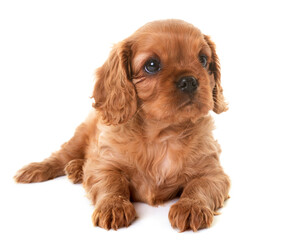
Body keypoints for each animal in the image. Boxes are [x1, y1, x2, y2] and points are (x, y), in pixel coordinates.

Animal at [14, 19, 231, 232]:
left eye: (203, 60)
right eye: (152, 65)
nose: (190, 81)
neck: (163, 135)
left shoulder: (213, 172)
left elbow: (200, 186)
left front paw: (191, 206)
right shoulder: (105, 165)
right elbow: (111, 182)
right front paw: (113, 206)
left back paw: (76, 169)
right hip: (79, 137)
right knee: (61, 157)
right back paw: (37, 169)